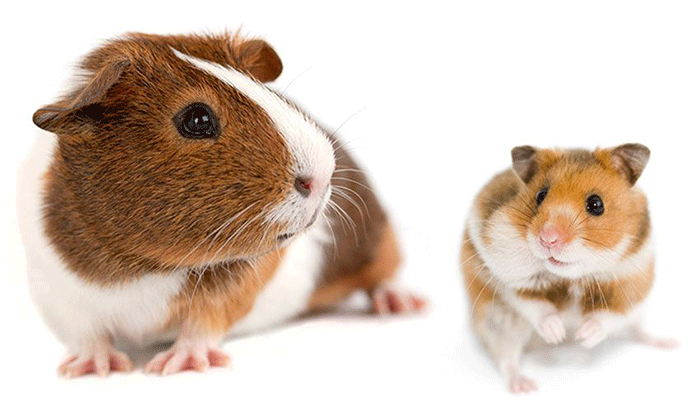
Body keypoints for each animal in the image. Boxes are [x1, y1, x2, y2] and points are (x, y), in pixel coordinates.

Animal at [23, 32, 425, 377]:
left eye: (265, 91)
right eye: (197, 119)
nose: (323, 177)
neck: (140, 269)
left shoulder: (233, 290)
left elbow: (202, 325)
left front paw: (176, 364)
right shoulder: (57, 295)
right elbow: (86, 336)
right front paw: (89, 369)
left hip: (378, 240)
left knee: (386, 274)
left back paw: (403, 305)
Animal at [460, 144, 676, 393]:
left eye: (596, 204)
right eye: (540, 195)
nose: (548, 239)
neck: (572, 276)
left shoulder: (632, 281)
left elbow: (610, 315)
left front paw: (584, 337)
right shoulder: (512, 278)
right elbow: (536, 306)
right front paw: (557, 334)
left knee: (638, 329)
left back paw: (666, 342)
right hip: (500, 321)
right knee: (507, 358)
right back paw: (524, 385)